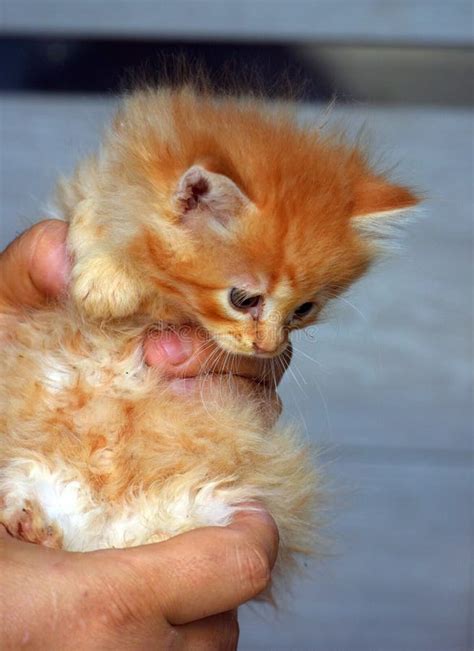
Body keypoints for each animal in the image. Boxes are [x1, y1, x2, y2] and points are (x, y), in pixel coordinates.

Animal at [0, 85, 414, 580]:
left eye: (304, 309)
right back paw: (28, 517)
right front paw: (106, 277)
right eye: (244, 299)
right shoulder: (91, 191)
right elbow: (91, 213)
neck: (166, 299)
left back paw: (41, 526)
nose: (268, 346)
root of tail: (102, 531)